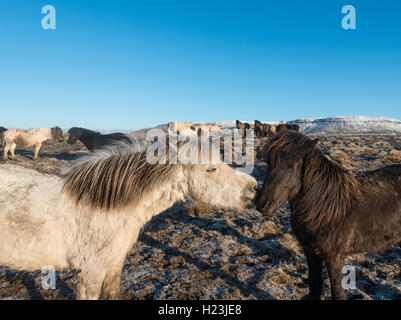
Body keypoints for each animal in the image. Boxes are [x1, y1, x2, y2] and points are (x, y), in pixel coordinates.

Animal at [255, 130, 400, 300]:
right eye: (268, 163)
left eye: (292, 166)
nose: (262, 204)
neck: (326, 210)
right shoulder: (311, 253)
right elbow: (314, 286)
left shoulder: (334, 257)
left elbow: (337, 292)